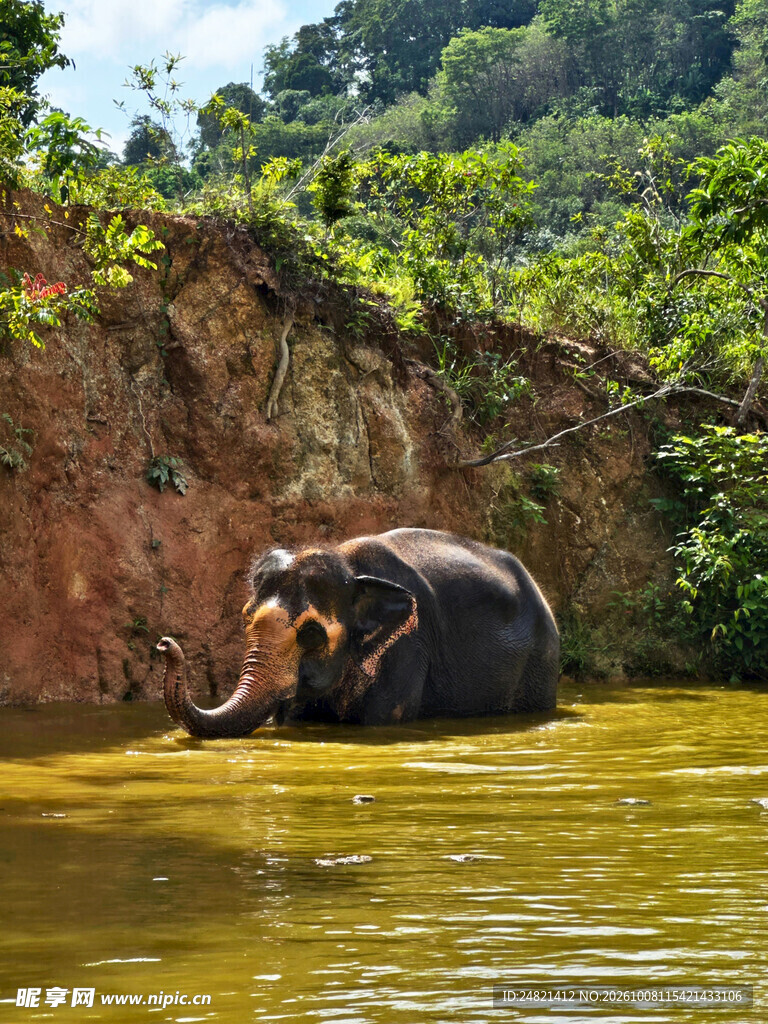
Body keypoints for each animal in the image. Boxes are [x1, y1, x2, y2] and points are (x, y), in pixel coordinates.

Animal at [157, 528, 559, 738]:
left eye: (311, 634)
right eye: (244, 620)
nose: (163, 643)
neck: (350, 567)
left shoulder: (409, 649)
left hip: (540, 664)